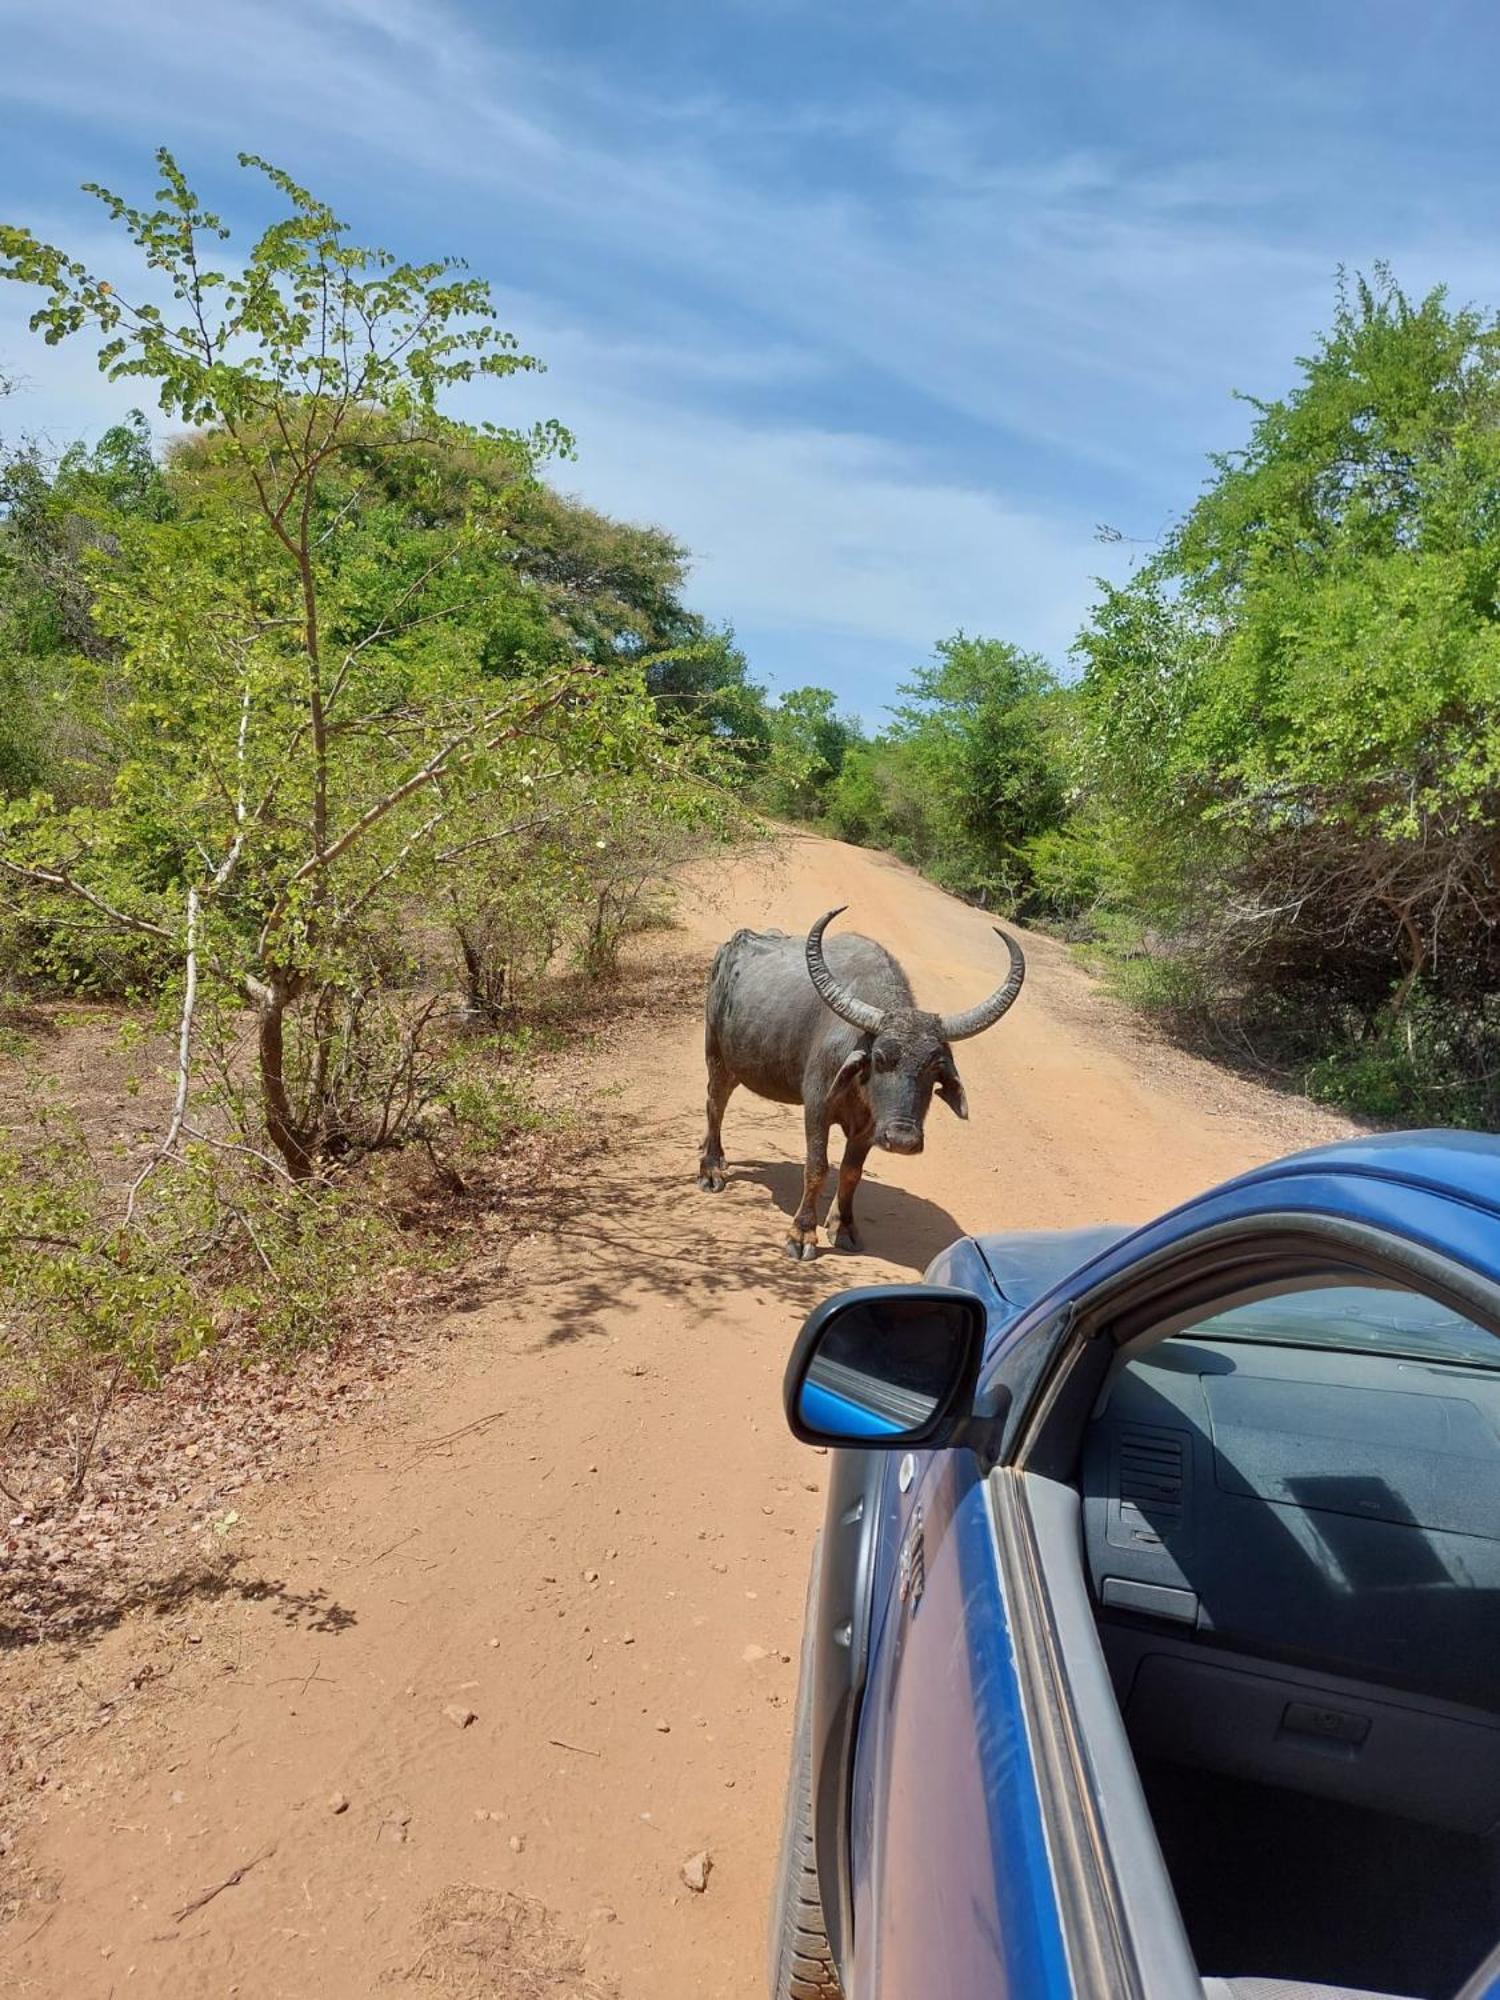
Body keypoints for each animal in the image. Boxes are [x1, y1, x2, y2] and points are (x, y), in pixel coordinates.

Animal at [700, 912, 1032, 1256]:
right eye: (881, 1058)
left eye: (934, 1068)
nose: (902, 1139)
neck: (859, 1087)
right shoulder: (817, 1108)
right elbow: (817, 1168)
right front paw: (802, 1234)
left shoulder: (870, 1127)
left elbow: (851, 1174)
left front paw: (844, 1227)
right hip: (717, 1055)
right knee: (715, 1105)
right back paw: (711, 1170)